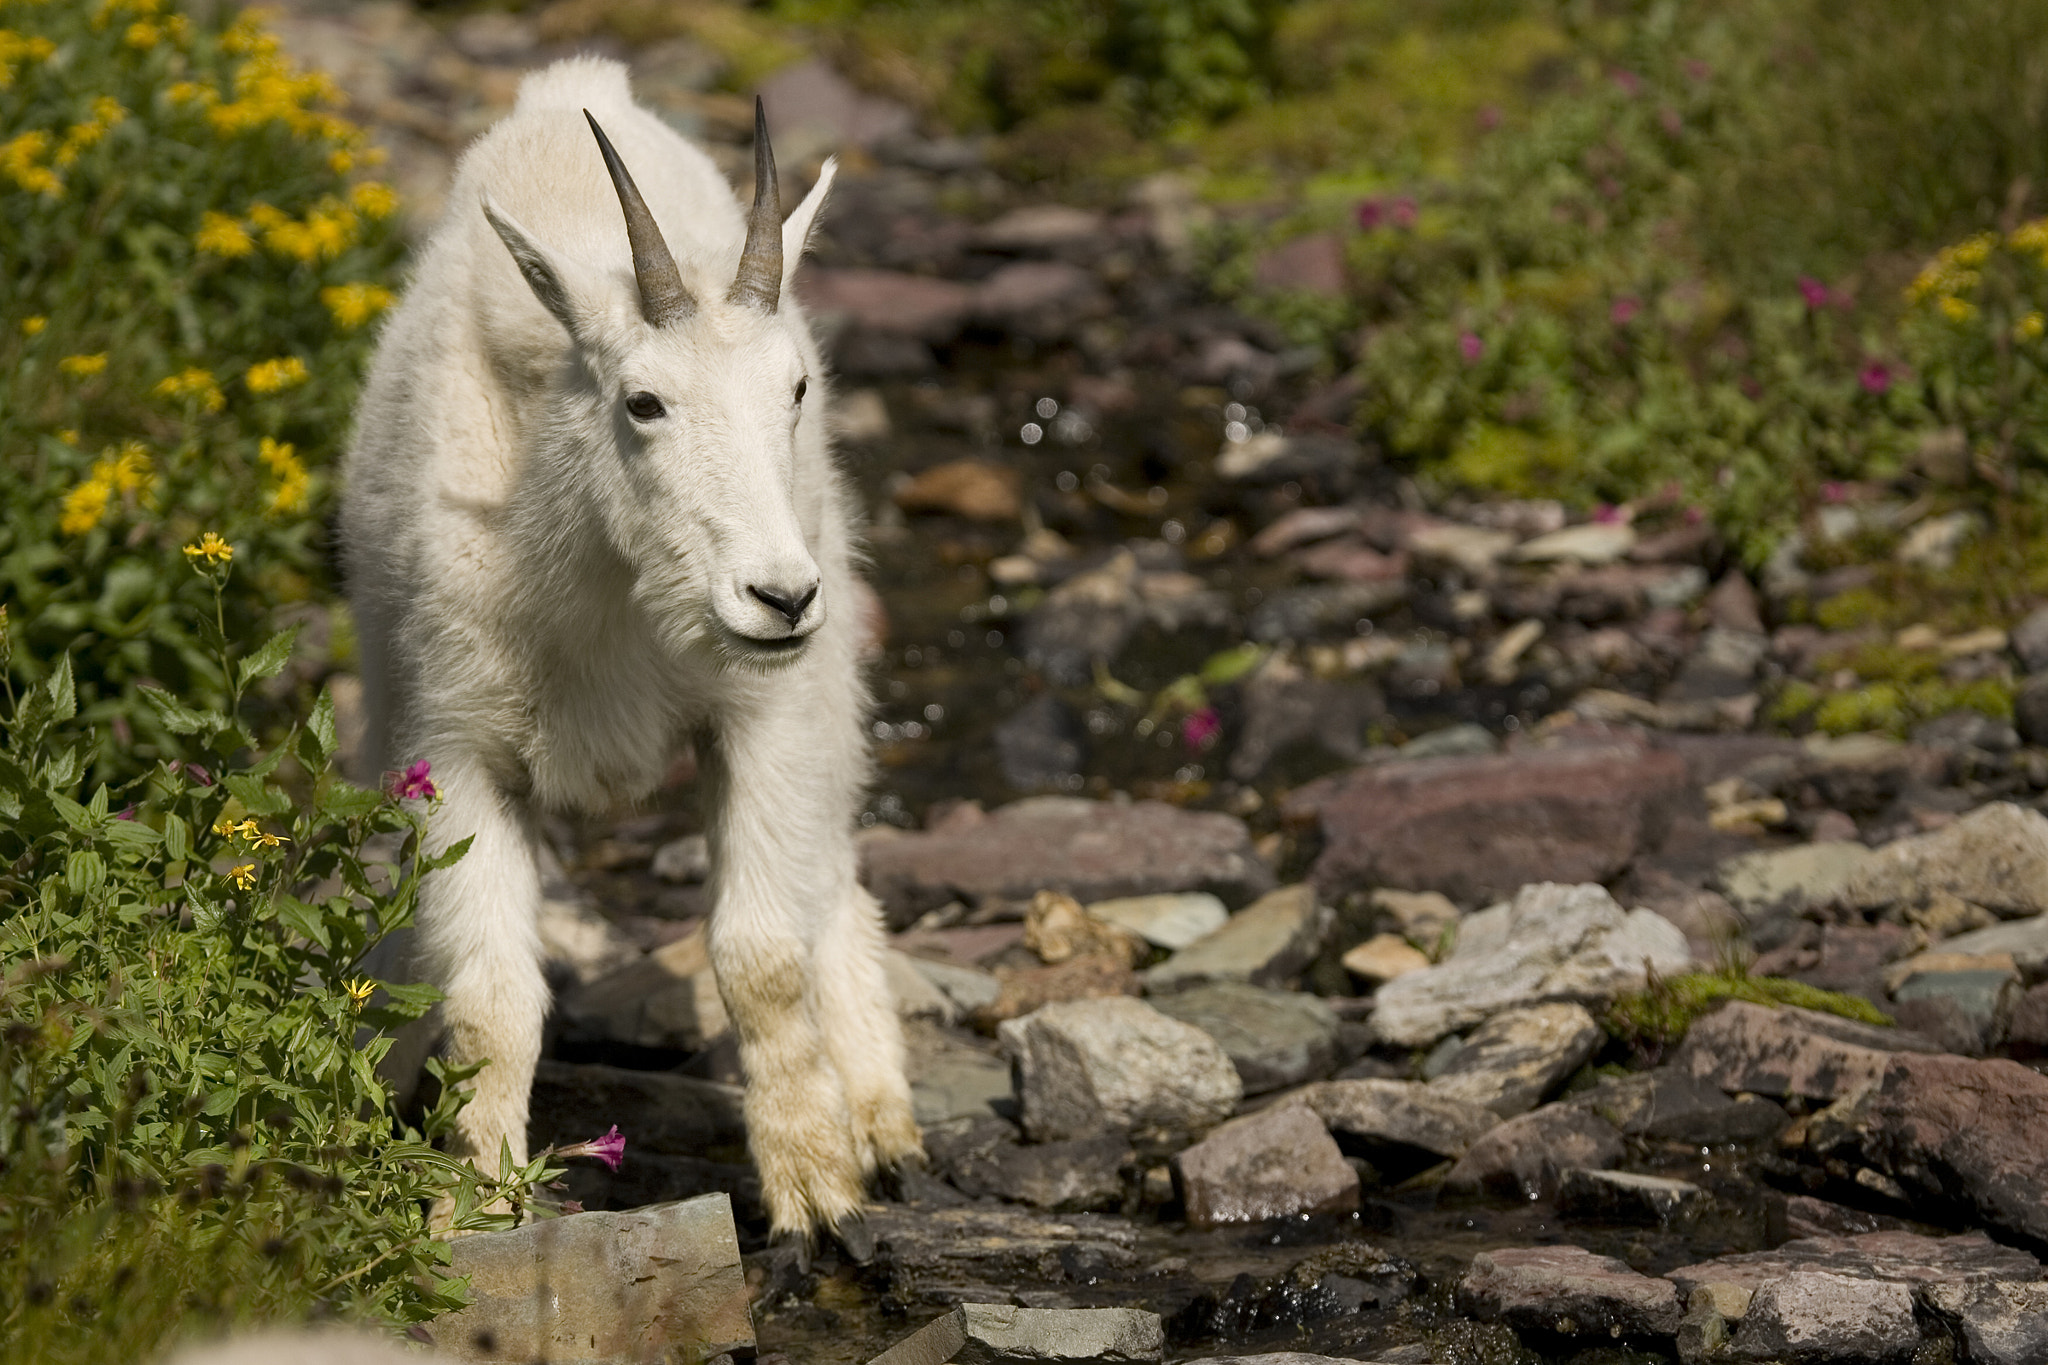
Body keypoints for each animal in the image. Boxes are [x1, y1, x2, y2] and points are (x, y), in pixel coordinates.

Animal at [339, 58, 917, 1252]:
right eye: (643, 402)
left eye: (795, 389)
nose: (779, 598)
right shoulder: (456, 750)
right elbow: (489, 1000)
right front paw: (474, 1203)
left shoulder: (761, 717)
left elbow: (760, 957)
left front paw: (815, 1190)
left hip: (829, 677)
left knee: (832, 871)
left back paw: (882, 1116)